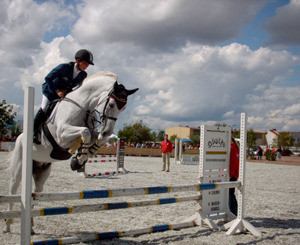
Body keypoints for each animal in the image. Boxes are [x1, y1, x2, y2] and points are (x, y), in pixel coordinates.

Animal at [4, 71, 138, 234]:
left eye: (123, 109)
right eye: (112, 104)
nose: (107, 130)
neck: (83, 105)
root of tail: (18, 138)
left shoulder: (89, 131)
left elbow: (96, 137)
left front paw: (85, 154)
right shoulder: (62, 135)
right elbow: (85, 132)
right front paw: (78, 159)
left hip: (41, 173)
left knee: (35, 194)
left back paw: (30, 227)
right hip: (18, 169)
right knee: (13, 192)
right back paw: (8, 224)